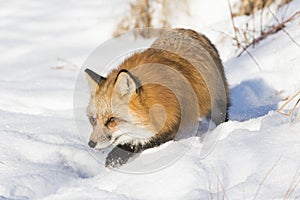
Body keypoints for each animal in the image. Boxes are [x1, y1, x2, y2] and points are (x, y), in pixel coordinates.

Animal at [85, 27, 230, 166]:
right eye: (93, 119)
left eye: (111, 120)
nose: (91, 144)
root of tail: (188, 30)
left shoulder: (171, 124)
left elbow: (146, 142)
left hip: (217, 105)